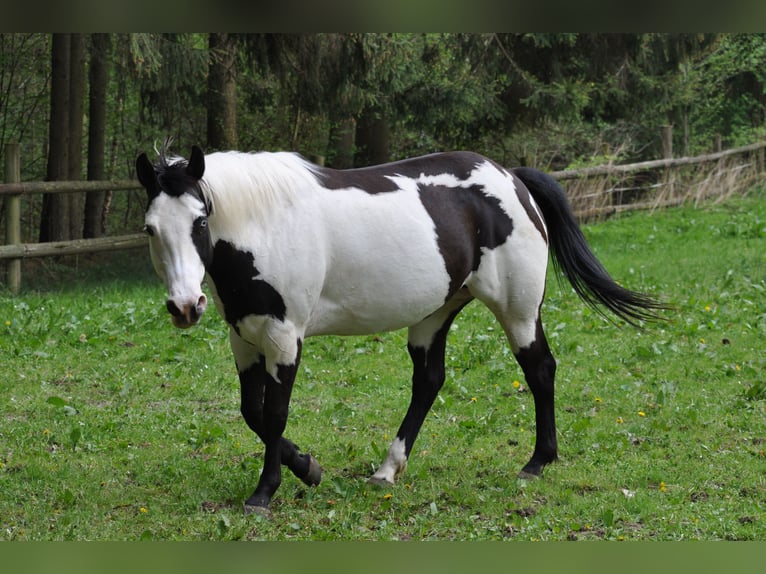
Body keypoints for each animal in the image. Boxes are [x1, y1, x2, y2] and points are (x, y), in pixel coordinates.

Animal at [136, 144, 665, 515]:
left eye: (200, 221)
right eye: (150, 228)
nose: (185, 307)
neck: (264, 225)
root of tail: (513, 178)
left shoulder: (285, 338)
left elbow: (274, 415)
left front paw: (267, 492)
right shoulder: (244, 338)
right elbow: (252, 412)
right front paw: (309, 469)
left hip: (517, 310)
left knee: (540, 370)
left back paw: (538, 462)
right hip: (435, 314)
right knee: (429, 382)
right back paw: (388, 470)